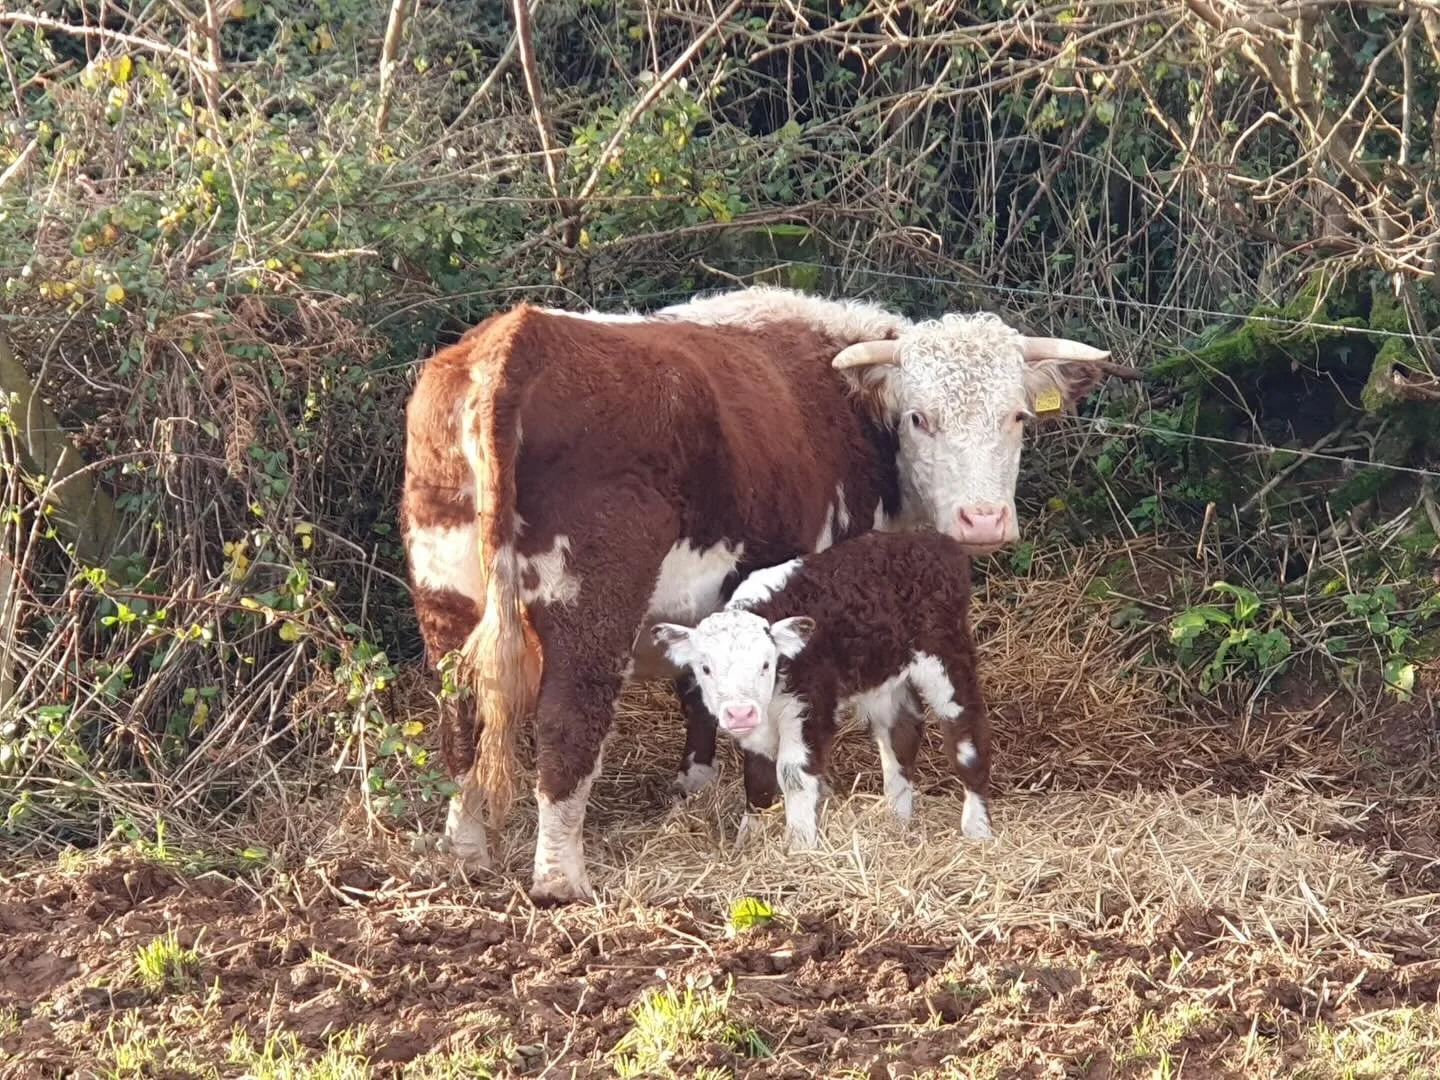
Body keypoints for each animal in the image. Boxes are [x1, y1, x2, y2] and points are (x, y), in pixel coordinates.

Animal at [651, 530, 990, 849]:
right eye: (705, 668)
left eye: (765, 664)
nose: (740, 713)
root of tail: (933, 540)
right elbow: (757, 777)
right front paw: (748, 841)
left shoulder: (809, 704)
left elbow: (794, 774)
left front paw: (799, 846)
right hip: (883, 675)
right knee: (901, 734)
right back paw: (898, 821)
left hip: (945, 656)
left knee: (965, 734)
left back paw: (977, 827)